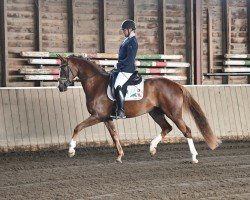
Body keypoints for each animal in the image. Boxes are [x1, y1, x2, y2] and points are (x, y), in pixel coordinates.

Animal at [58, 54, 221, 162]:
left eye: (64, 69)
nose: (60, 87)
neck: (96, 84)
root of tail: (176, 85)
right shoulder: (106, 118)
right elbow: (114, 136)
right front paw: (119, 155)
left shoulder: (97, 116)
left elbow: (77, 127)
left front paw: (71, 150)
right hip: (155, 112)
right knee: (166, 128)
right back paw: (152, 148)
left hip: (174, 113)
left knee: (186, 130)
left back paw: (193, 157)